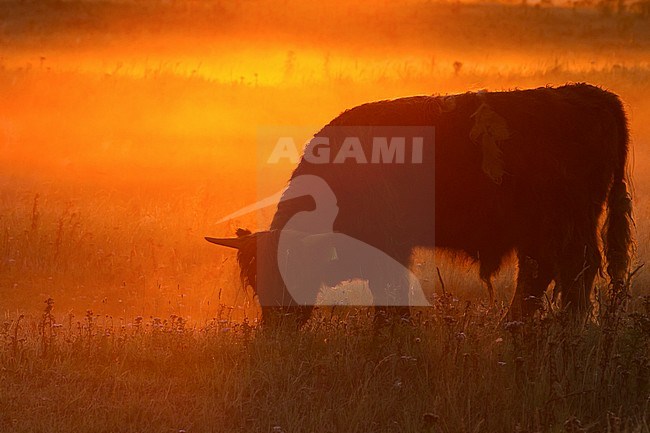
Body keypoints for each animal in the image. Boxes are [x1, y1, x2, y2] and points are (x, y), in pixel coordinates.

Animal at [205, 83, 632, 324]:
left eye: (292, 270)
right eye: (255, 281)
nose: (278, 326)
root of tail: (593, 94)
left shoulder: (389, 249)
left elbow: (390, 302)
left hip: (567, 228)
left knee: (573, 273)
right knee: (538, 276)